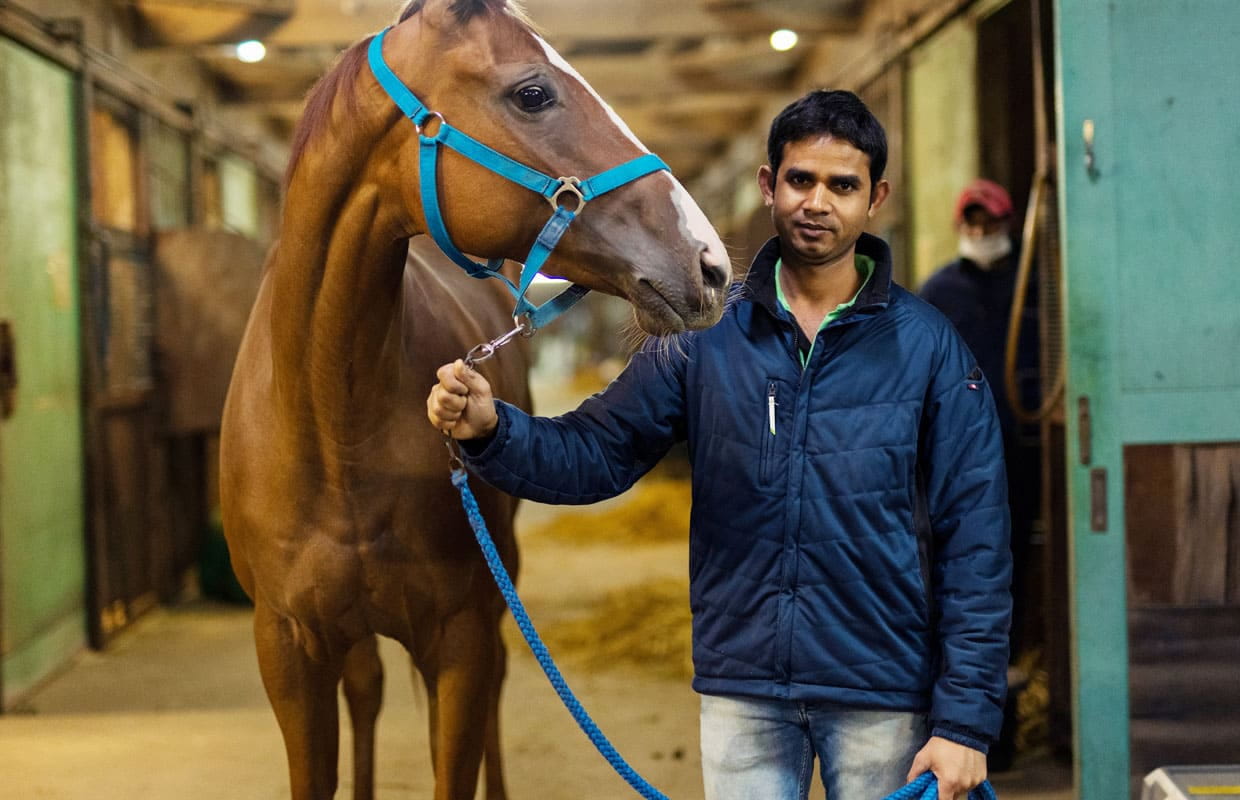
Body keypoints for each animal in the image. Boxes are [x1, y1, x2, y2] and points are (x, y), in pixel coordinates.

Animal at [219, 1, 729, 798]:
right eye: (533, 93)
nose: (710, 263)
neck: (333, 425)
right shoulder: (289, 650)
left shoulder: (457, 637)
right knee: (367, 691)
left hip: (498, 586)